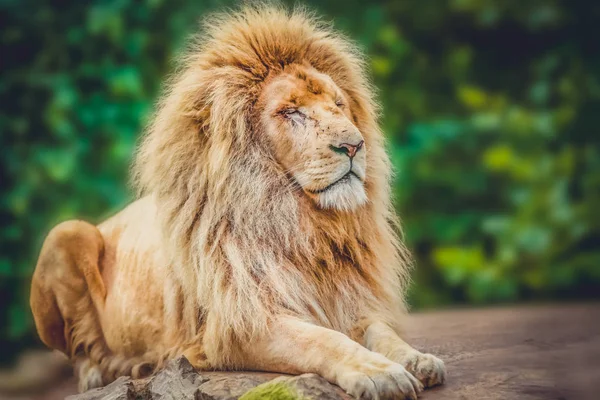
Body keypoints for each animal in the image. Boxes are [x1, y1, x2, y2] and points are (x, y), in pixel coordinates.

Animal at [30, 3, 448, 400]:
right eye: (290, 111)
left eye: (339, 104)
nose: (354, 145)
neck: (306, 228)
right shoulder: (240, 326)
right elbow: (325, 340)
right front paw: (380, 373)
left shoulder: (350, 300)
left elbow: (382, 332)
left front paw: (417, 359)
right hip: (66, 232)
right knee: (79, 351)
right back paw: (106, 371)